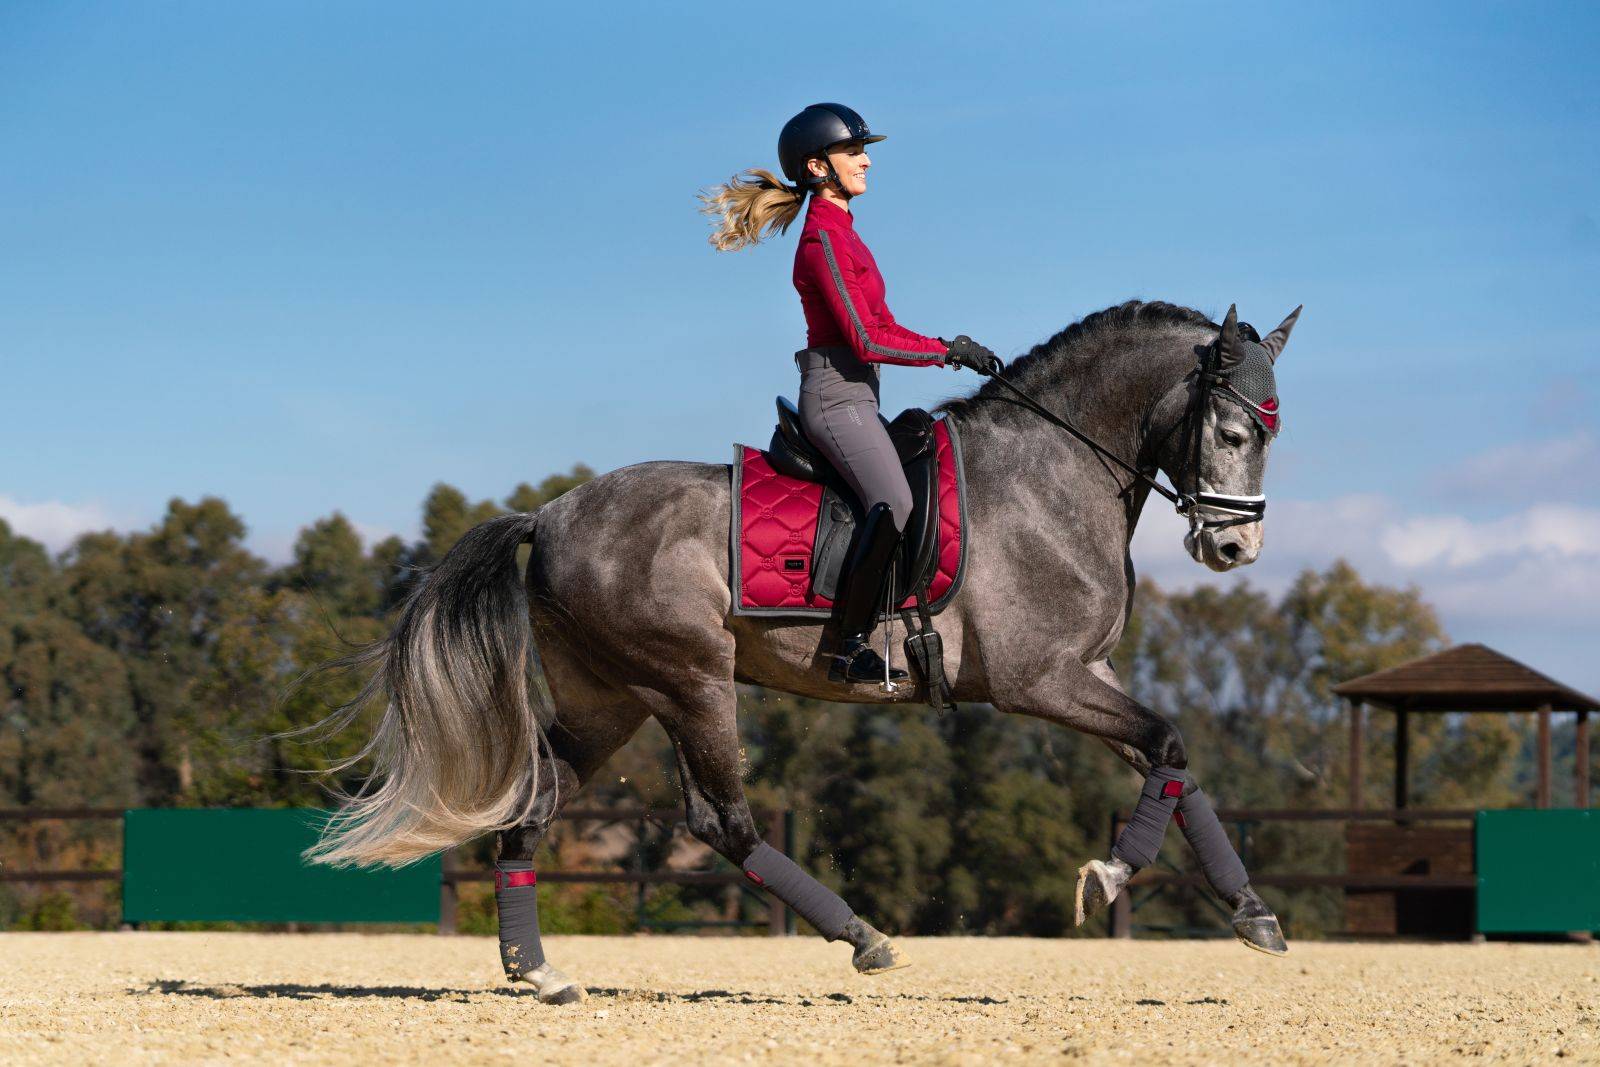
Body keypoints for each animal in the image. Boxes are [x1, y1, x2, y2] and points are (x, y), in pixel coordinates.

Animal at [302, 299, 1299, 1004]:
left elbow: (1174, 763)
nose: (1233, 548)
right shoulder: (1040, 680)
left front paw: (1252, 912)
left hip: (607, 700)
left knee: (536, 802)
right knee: (724, 823)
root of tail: (547, 515)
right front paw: (1108, 873)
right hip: (692, 682)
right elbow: (1166, 746)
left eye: (1269, 434)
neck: (1054, 474)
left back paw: (539, 973)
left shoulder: (1090, 675)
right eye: (1234, 432)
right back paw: (864, 936)